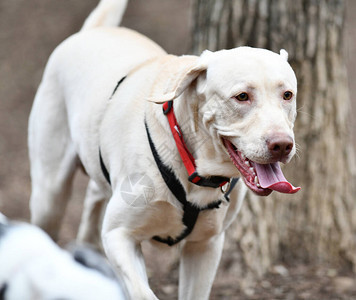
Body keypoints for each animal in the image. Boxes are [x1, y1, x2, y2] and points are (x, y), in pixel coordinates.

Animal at [28, 0, 300, 298]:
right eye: (242, 96)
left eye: (287, 95)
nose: (282, 145)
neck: (193, 166)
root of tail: (94, 30)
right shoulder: (119, 235)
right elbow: (142, 292)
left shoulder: (205, 246)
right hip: (49, 196)